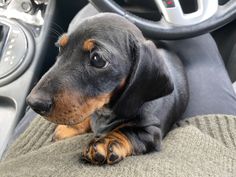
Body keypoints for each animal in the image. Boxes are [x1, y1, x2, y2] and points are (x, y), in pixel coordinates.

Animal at [26, 13, 188, 165]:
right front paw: (71, 127)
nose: (33, 103)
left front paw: (107, 142)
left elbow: (127, 131)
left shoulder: (151, 132)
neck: (106, 111)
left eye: (98, 59)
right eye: (60, 47)